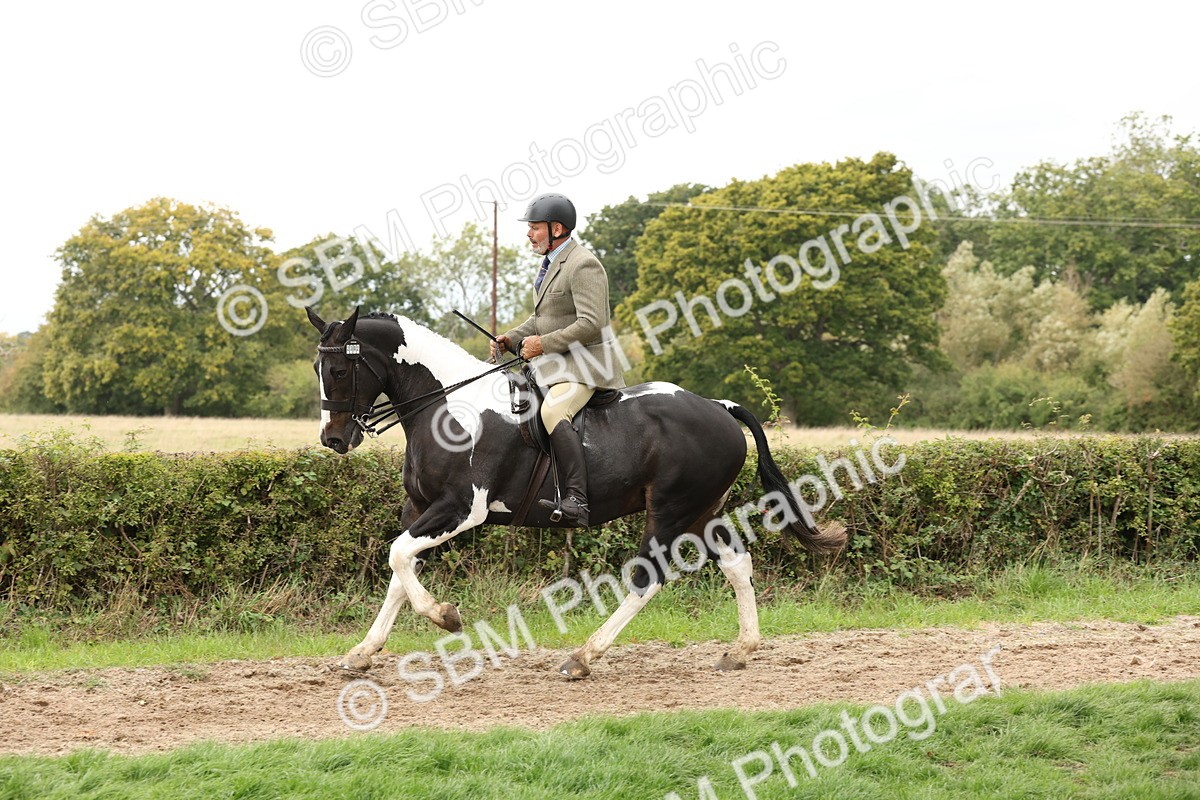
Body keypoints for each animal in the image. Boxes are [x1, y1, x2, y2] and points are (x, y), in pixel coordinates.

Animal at [307, 306, 847, 678]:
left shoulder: (460, 509)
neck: (449, 408)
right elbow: (401, 570)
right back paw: (741, 650)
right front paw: (362, 652)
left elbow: (399, 556)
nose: (334, 440)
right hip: (701, 511)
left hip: (670, 511)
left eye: (340, 371)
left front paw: (446, 616)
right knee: (737, 564)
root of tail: (719, 406)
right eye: (319, 369)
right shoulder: (419, 508)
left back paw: (583, 656)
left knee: (647, 577)